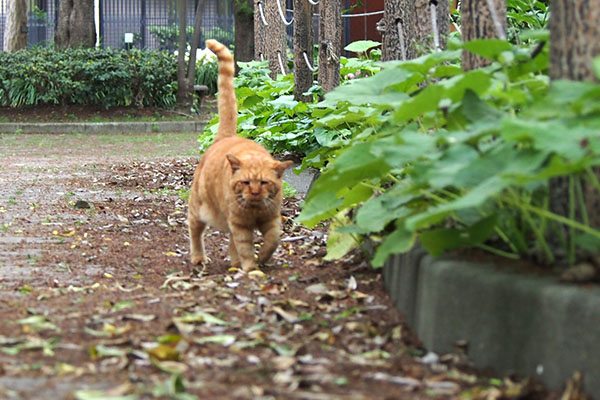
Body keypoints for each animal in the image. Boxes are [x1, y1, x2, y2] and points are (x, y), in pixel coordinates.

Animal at [186, 39, 292, 272]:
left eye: (264, 183)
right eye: (245, 182)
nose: (254, 192)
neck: (255, 211)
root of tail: (226, 136)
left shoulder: (272, 220)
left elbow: (273, 240)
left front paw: (262, 258)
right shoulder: (239, 225)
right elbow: (244, 247)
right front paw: (252, 269)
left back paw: (234, 263)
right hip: (198, 210)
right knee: (195, 233)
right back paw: (199, 258)